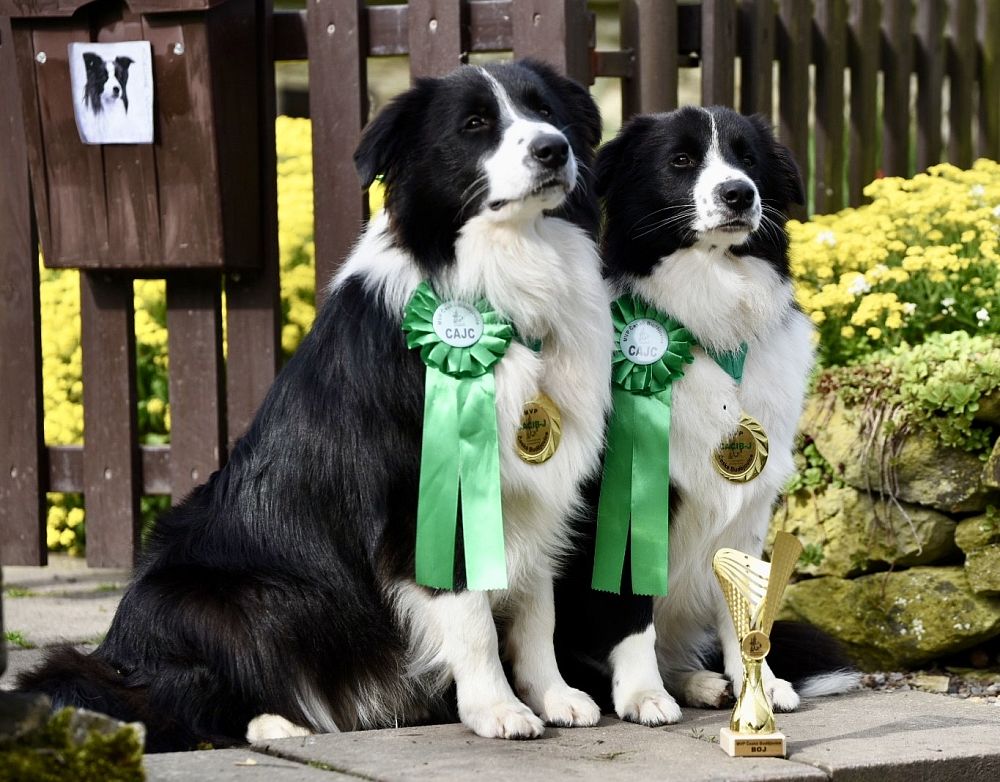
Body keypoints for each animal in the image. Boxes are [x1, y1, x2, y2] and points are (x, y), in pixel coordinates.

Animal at [21, 62, 616, 752]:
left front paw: (555, 697)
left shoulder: (533, 496)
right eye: (474, 123)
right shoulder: (422, 500)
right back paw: (276, 722)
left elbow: (535, 609)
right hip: (216, 598)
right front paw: (496, 708)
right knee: (173, 698)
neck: (501, 281)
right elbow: (472, 616)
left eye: (545, 110)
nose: (553, 149)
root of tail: (116, 654)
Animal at [556, 107, 852, 720]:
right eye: (681, 160)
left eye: (747, 158)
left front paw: (758, 686)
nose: (739, 193)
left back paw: (700, 682)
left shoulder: (748, 508)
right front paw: (643, 695)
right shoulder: (623, 498)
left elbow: (742, 603)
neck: (708, 320)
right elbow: (629, 609)